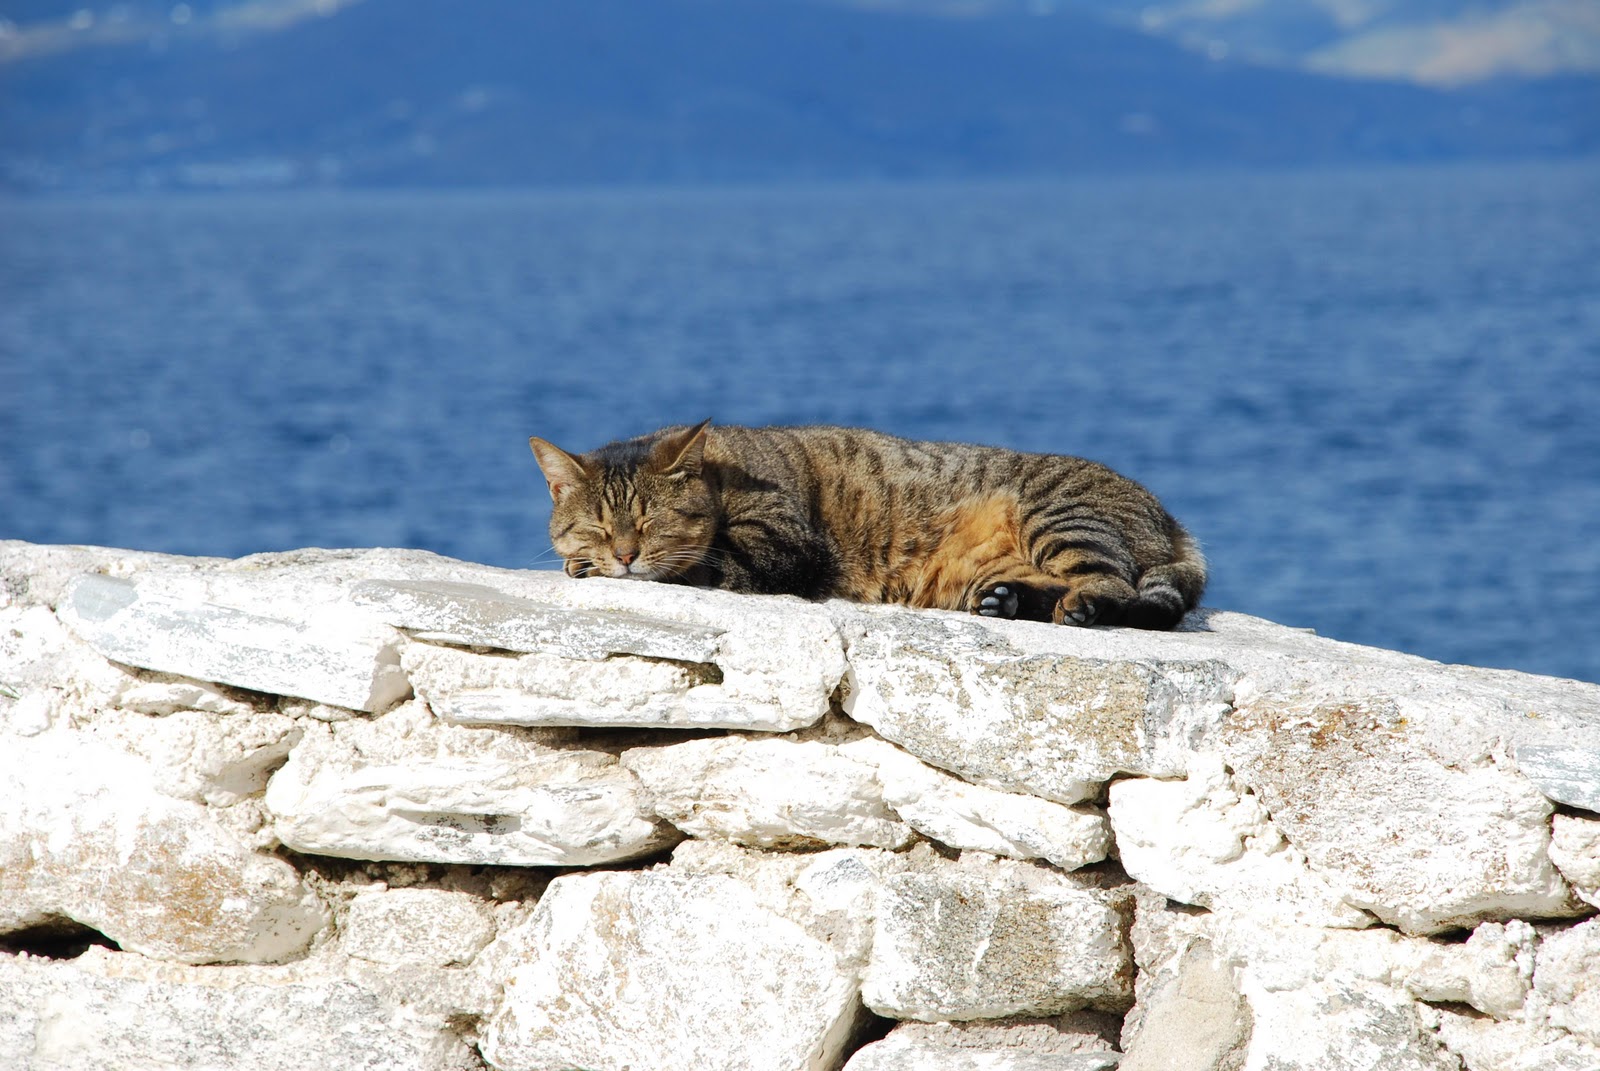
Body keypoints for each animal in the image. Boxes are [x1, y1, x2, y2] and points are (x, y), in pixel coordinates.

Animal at [531, 422, 1203, 630]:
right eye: (597, 526)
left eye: (650, 522)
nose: (622, 555)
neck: (725, 471)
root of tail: (1169, 516)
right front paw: (577, 559)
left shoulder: (780, 545)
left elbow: (698, 567)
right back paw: (1009, 601)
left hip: (1056, 516)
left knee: (1116, 586)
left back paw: (1082, 607)